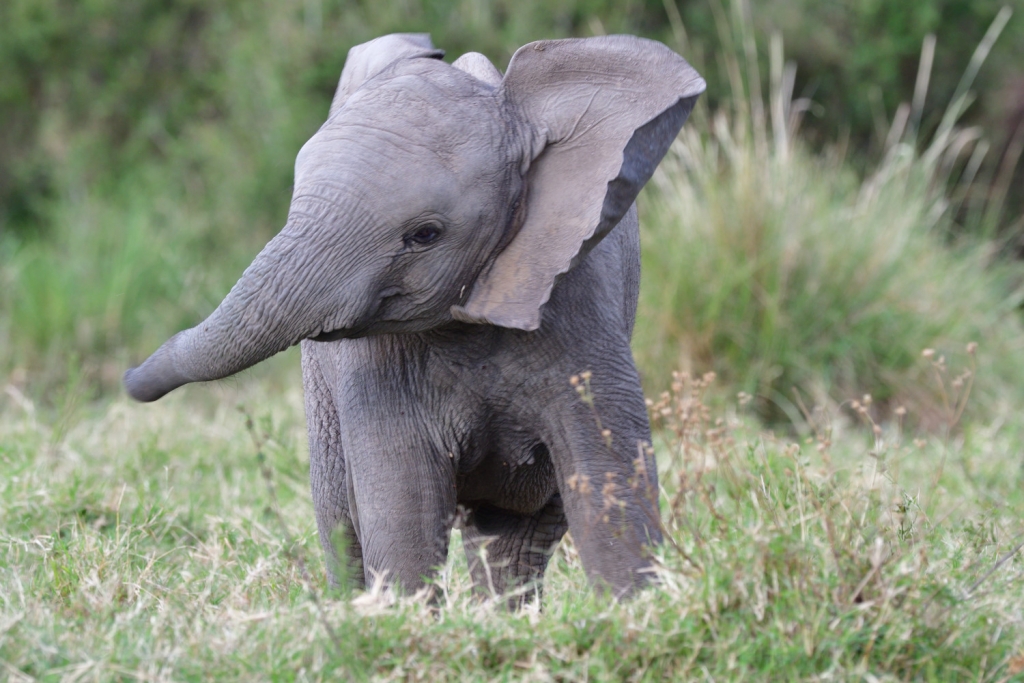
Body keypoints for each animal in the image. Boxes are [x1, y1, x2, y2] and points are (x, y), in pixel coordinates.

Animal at [125, 34, 704, 602]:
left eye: (424, 235)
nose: (131, 382)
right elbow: (403, 497)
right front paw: (399, 619)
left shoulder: (577, 298)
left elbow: (606, 472)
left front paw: (637, 611)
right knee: (342, 519)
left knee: (519, 534)